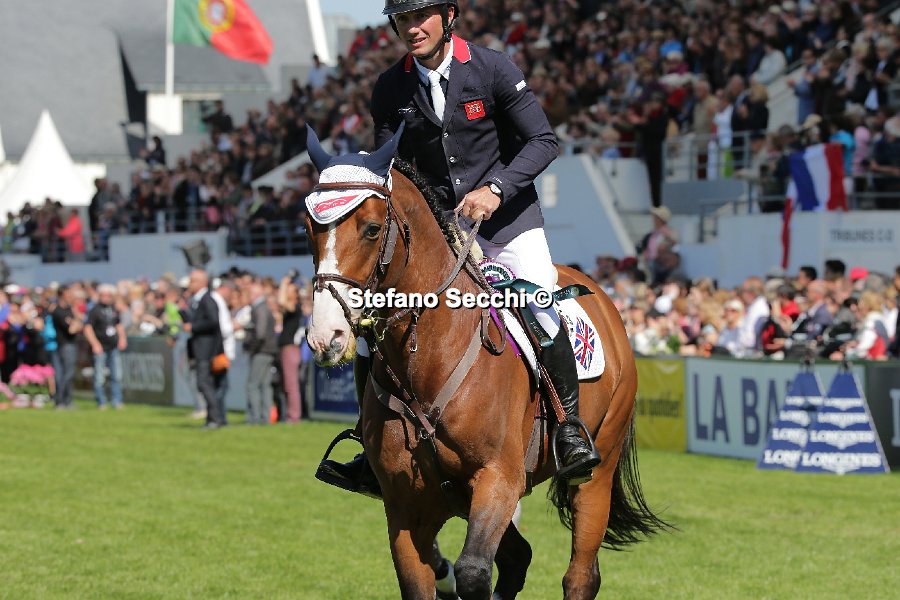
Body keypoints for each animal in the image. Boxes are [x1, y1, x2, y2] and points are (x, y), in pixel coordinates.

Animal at [304, 127, 668, 599]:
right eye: (308, 229)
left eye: (370, 229)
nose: (325, 336)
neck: (430, 358)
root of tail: (600, 295)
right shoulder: (407, 509)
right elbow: (426, 577)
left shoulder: (499, 479)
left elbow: (474, 571)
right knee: (519, 557)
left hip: (596, 472)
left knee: (580, 574)